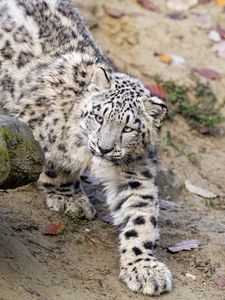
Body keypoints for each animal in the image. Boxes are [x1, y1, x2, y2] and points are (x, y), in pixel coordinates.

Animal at [0, 0, 172, 296]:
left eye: (128, 129)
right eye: (99, 117)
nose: (104, 148)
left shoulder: (135, 172)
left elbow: (141, 217)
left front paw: (144, 268)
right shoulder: (35, 132)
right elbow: (54, 166)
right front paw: (69, 198)